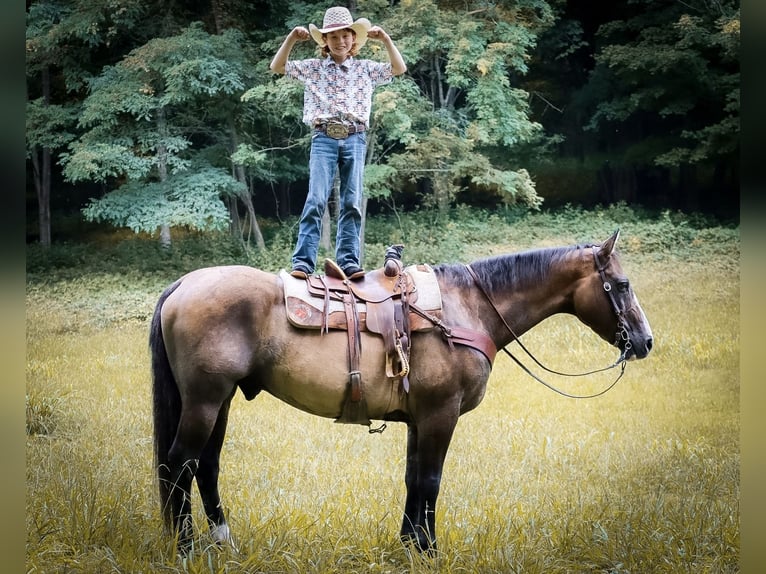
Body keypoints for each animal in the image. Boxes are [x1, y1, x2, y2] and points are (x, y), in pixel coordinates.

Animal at [148, 230, 656, 552]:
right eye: (622, 284)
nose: (646, 341)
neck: (465, 308)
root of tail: (182, 284)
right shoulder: (439, 415)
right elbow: (431, 480)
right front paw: (428, 550)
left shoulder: (419, 419)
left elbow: (414, 479)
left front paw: (410, 544)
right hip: (205, 400)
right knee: (179, 463)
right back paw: (185, 546)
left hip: (220, 400)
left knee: (205, 466)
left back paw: (221, 540)